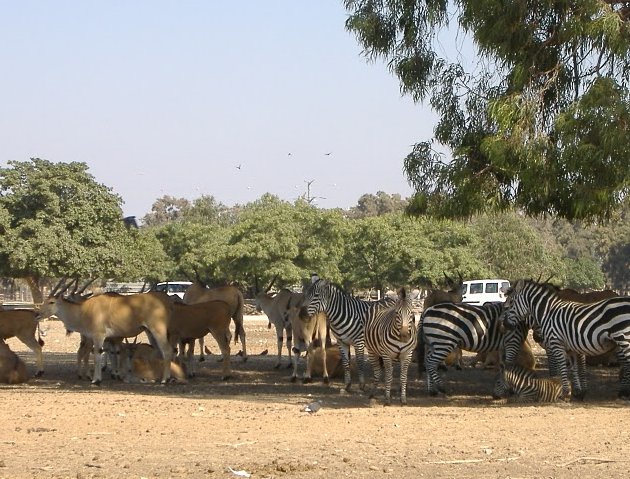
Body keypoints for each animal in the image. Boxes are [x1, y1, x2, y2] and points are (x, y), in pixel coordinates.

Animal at [38, 282, 174, 386]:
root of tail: (164, 303)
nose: (37, 313)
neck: (83, 310)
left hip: (158, 330)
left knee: (167, 350)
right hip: (150, 332)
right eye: (45, 301)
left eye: (51, 302)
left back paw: (164, 380)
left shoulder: (99, 336)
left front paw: (96, 380)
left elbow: (97, 356)